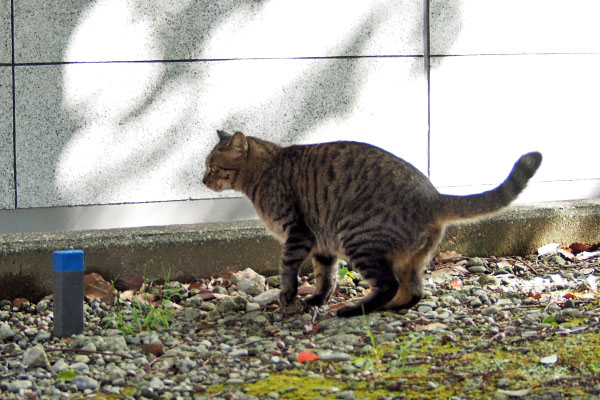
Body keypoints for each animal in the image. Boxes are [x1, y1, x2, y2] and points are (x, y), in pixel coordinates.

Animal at [203, 130, 544, 318]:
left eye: (212, 166)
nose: (203, 179)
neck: (266, 169)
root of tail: (434, 197)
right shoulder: (322, 244)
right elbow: (326, 278)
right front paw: (316, 299)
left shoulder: (298, 233)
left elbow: (288, 269)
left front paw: (289, 296)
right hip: (407, 259)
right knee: (414, 291)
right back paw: (390, 307)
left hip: (358, 239)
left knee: (389, 285)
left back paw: (355, 310)